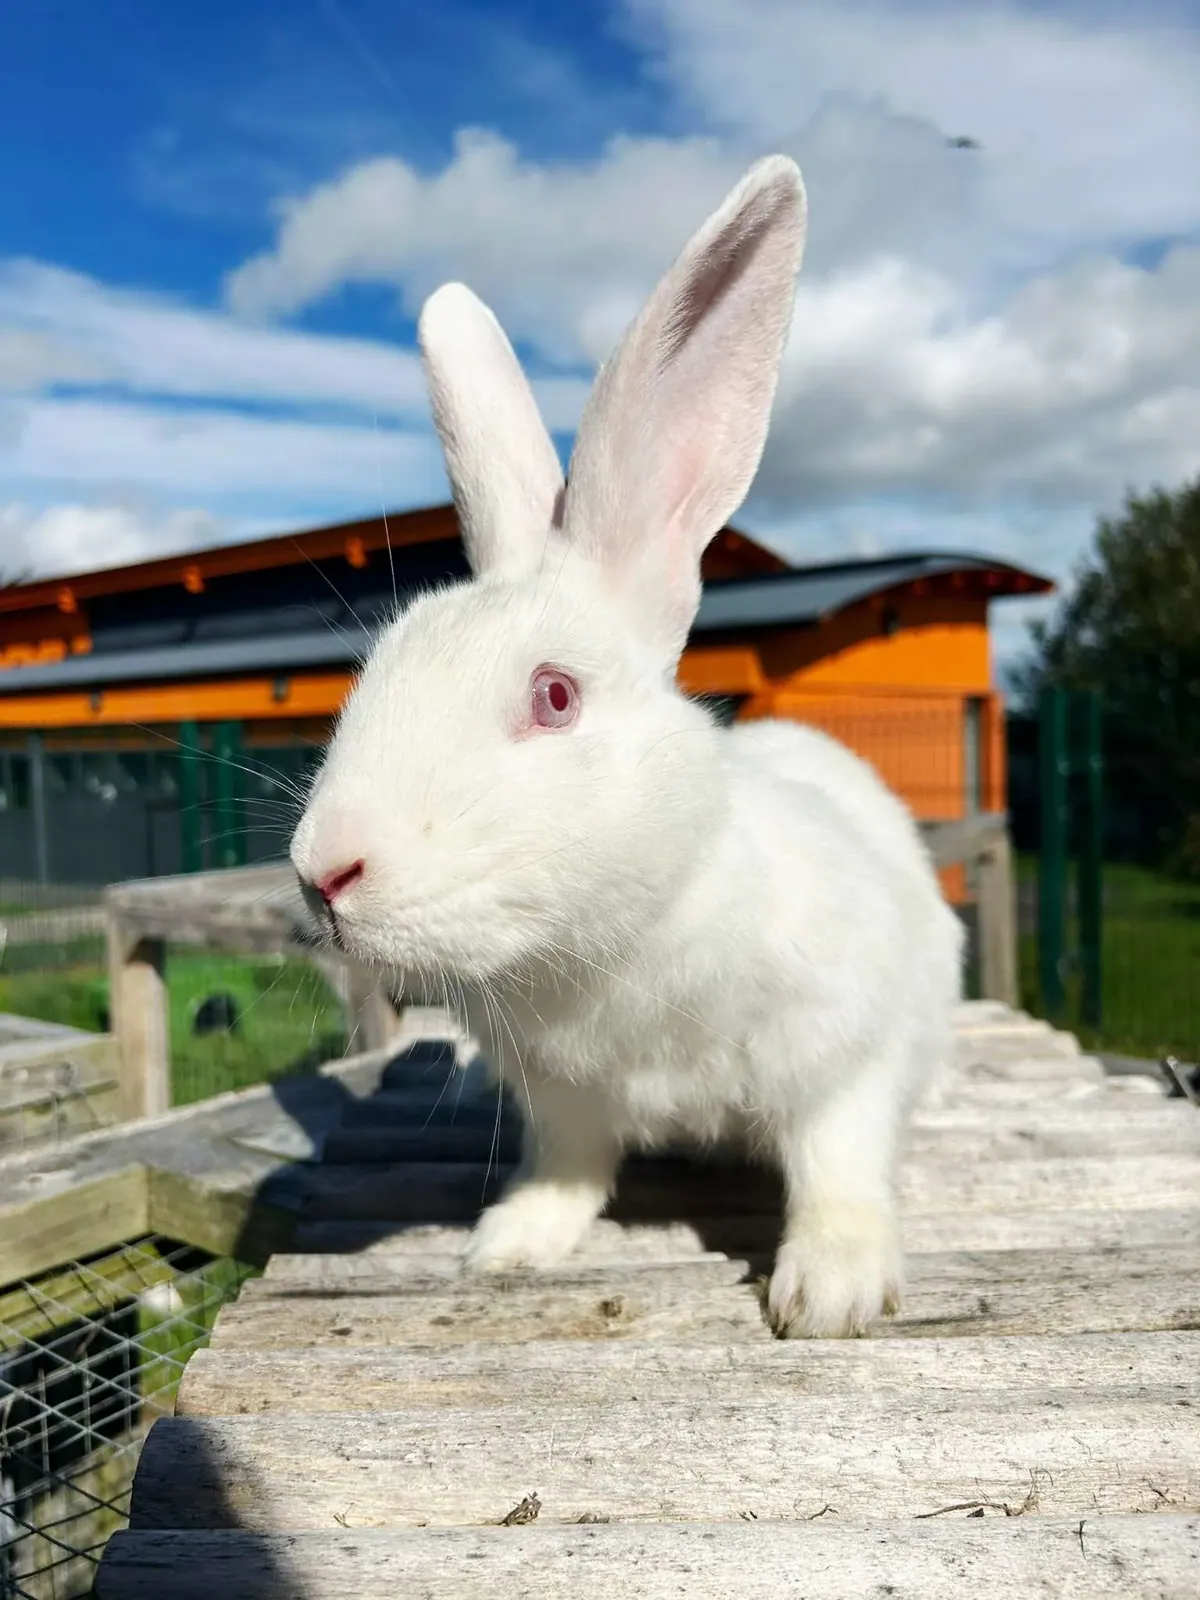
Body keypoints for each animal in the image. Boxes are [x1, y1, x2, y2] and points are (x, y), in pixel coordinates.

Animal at [290, 154, 964, 1338]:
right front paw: (509, 1245)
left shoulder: (849, 1047)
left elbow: (836, 1159)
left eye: (555, 696)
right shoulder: (560, 1102)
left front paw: (830, 1291)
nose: (323, 873)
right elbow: (569, 1169)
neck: (618, 947)